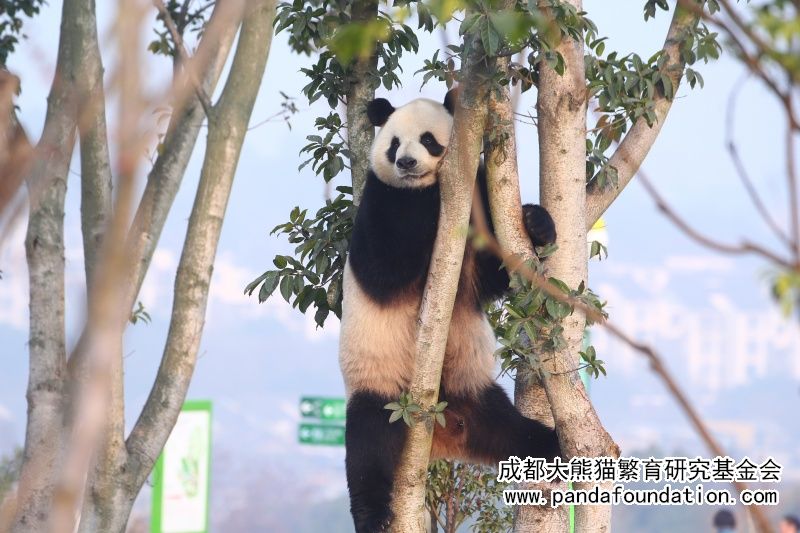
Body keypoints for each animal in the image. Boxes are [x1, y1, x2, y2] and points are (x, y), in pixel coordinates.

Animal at [339, 90, 561, 533]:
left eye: (428, 140)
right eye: (394, 144)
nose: (407, 164)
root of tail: (444, 435)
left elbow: (492, 277)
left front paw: (537, 222)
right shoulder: (380, 203)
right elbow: (383, 267)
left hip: (474, 394)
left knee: (517, 435)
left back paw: (557, 451)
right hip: (380, 388)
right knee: (367, 446)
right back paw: (373, 517)